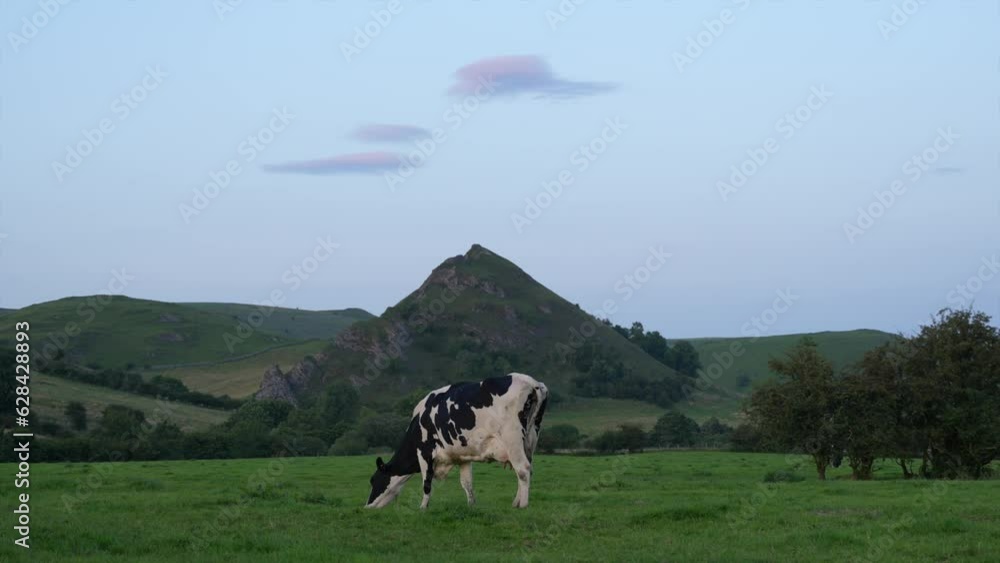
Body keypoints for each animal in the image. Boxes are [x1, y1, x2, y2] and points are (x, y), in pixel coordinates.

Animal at [365, 372, 549, 510]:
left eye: (373, 480)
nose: (367, 506)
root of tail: (532, 382)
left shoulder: (424, 452)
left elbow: (426, 483)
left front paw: (423, 507)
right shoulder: (463, 457)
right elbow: (466, 483)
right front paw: (471, 505)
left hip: (513, 439)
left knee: (523, 469)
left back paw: (523, 505)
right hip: (530, 439)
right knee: (527, 469)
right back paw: (516, 502)